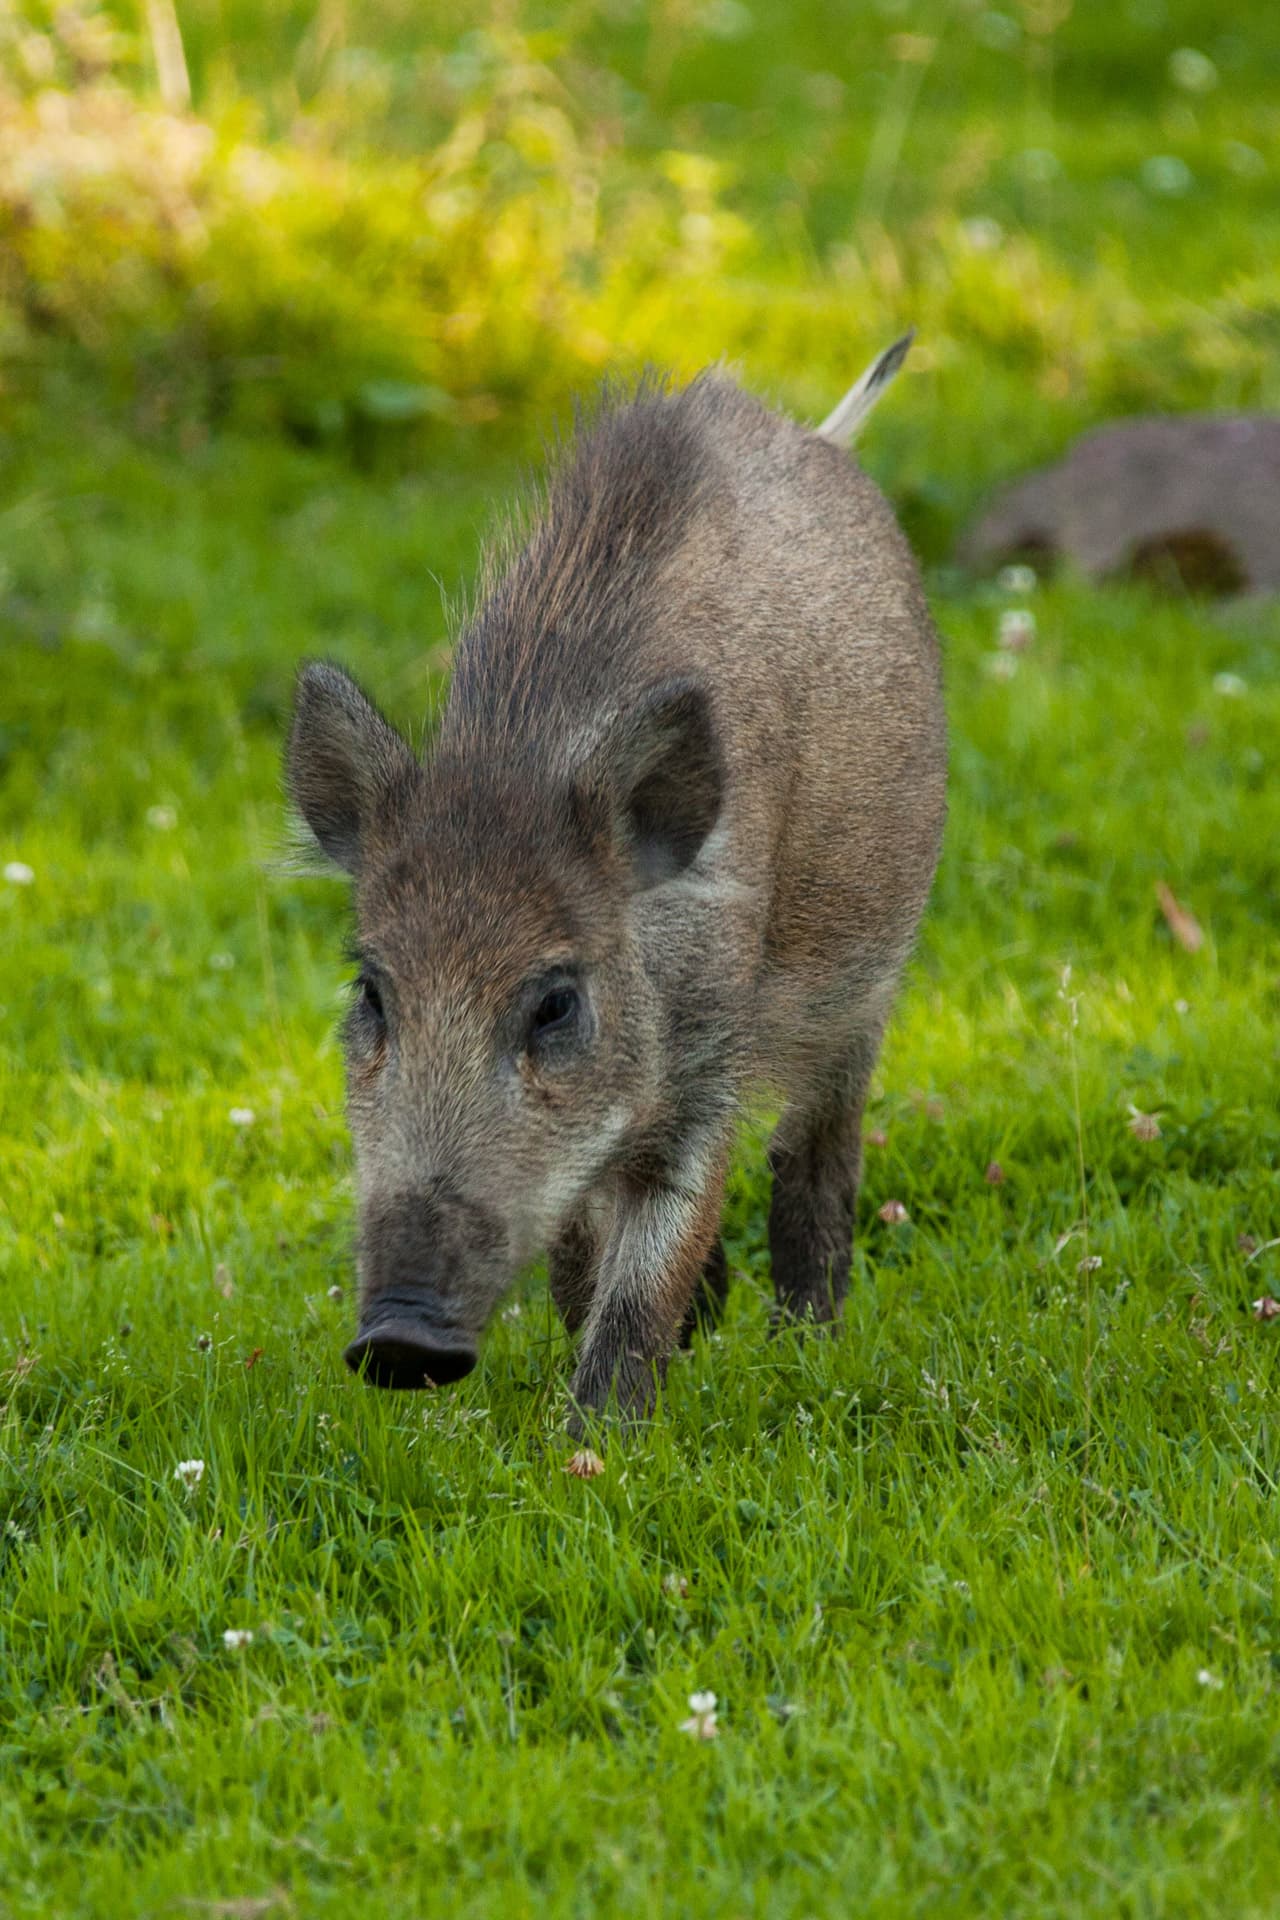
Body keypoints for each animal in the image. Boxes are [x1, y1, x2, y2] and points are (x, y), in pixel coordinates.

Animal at [287, 335, 946, 1424]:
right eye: (370, 992)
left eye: (555, 1003)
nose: (397, 1342)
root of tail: (816, 434)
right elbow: (579, 1255)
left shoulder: (712, 1059)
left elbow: (647, 1273)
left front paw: (601, 1440)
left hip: (867, 988)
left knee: (816, 1154)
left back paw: (807, 1346)